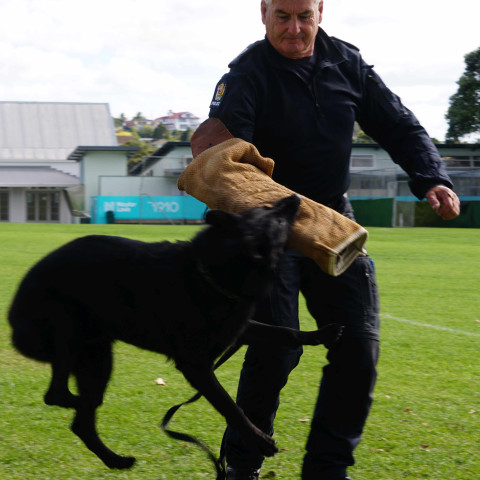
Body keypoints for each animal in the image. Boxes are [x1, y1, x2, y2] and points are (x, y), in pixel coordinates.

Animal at [9, 195, 344, 468]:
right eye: (276, 219)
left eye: (269, 209)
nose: (294, 197)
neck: (212, 274)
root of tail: (13, 316)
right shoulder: (196, 367)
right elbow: (230, 406)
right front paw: (258, 439)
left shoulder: (238, 329)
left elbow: (283, 331)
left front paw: (321, 334)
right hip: (69, 332)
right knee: (56, 395)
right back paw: (84, 410)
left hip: (98, 359)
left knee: (81, 421)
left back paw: (115, 460)